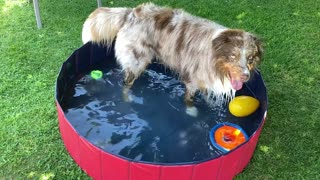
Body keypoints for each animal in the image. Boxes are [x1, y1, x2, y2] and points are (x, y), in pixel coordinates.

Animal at [82, 2, 262, 116]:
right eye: (233, 56)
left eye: (250, 58)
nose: (245, 76)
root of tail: (131, 13)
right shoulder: (192, 77)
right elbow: (189, 98)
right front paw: (191, 111)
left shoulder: (205, 76)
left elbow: (206, 93)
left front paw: (211, 103)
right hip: (136, 59)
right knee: (126, 83)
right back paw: (129, 99)